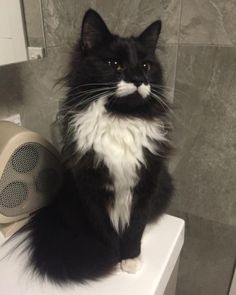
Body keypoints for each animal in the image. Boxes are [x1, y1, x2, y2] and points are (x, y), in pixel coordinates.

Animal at [9, 8, 173, 284]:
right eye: (115, 65)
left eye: (146, 66)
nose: (139, 79)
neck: (120, 117)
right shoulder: (91, 188)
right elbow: (105, 229)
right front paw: (111, 258)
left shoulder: (146, 183)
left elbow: (135, 226)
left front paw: (130, 258)